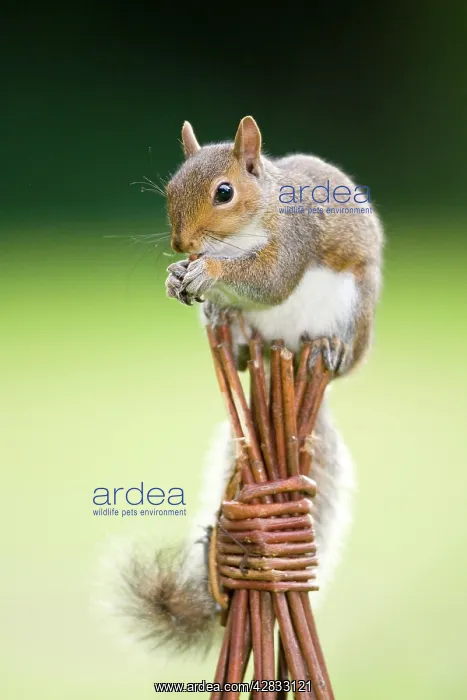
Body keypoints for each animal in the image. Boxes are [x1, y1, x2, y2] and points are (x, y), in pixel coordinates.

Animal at [113, 117, 383, 654]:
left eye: (224, 192)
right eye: (170, 188)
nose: (181, 246)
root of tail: (288, 347)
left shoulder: (295, 238)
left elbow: (271, 279)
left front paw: (209, 270)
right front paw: (177, 276)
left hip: (353, 308)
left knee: (336, 347)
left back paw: (330, 347)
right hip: (249, 336)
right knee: (238, 348)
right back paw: (227, 324)